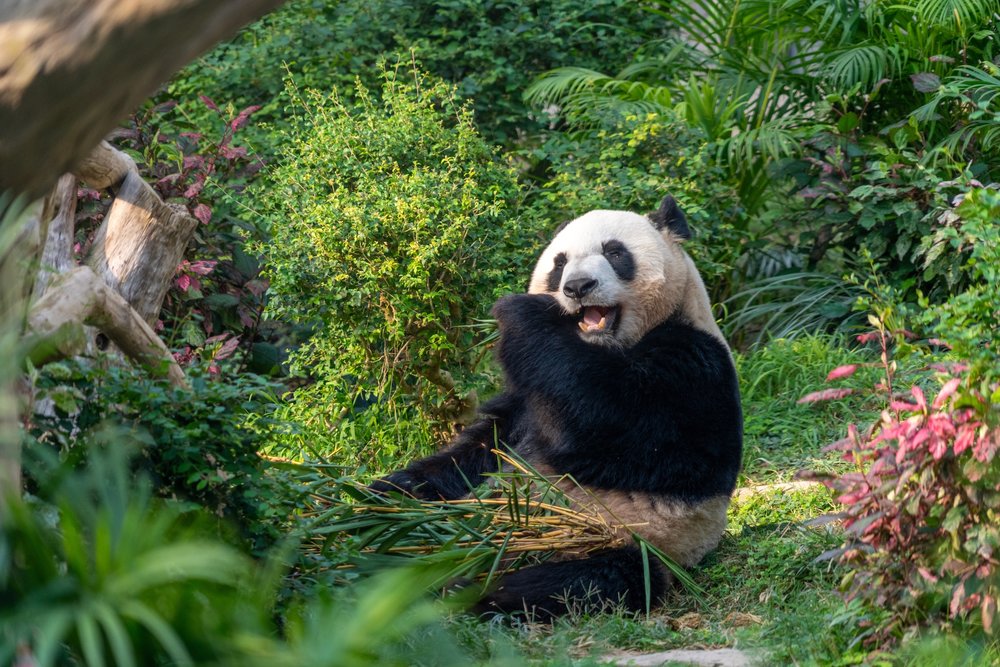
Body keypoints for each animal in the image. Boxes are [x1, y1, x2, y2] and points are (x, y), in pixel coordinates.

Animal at [371, 195, 743, 619]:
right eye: (560, 263)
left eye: (615, 253)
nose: (578, 287)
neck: (602, 347)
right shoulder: (526, 397)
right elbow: (482, 450)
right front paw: (385, 490)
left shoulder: (694, 364)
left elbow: (607, 426)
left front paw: (522, 311)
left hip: (628, 540)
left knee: (585, 580)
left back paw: (461, 588)